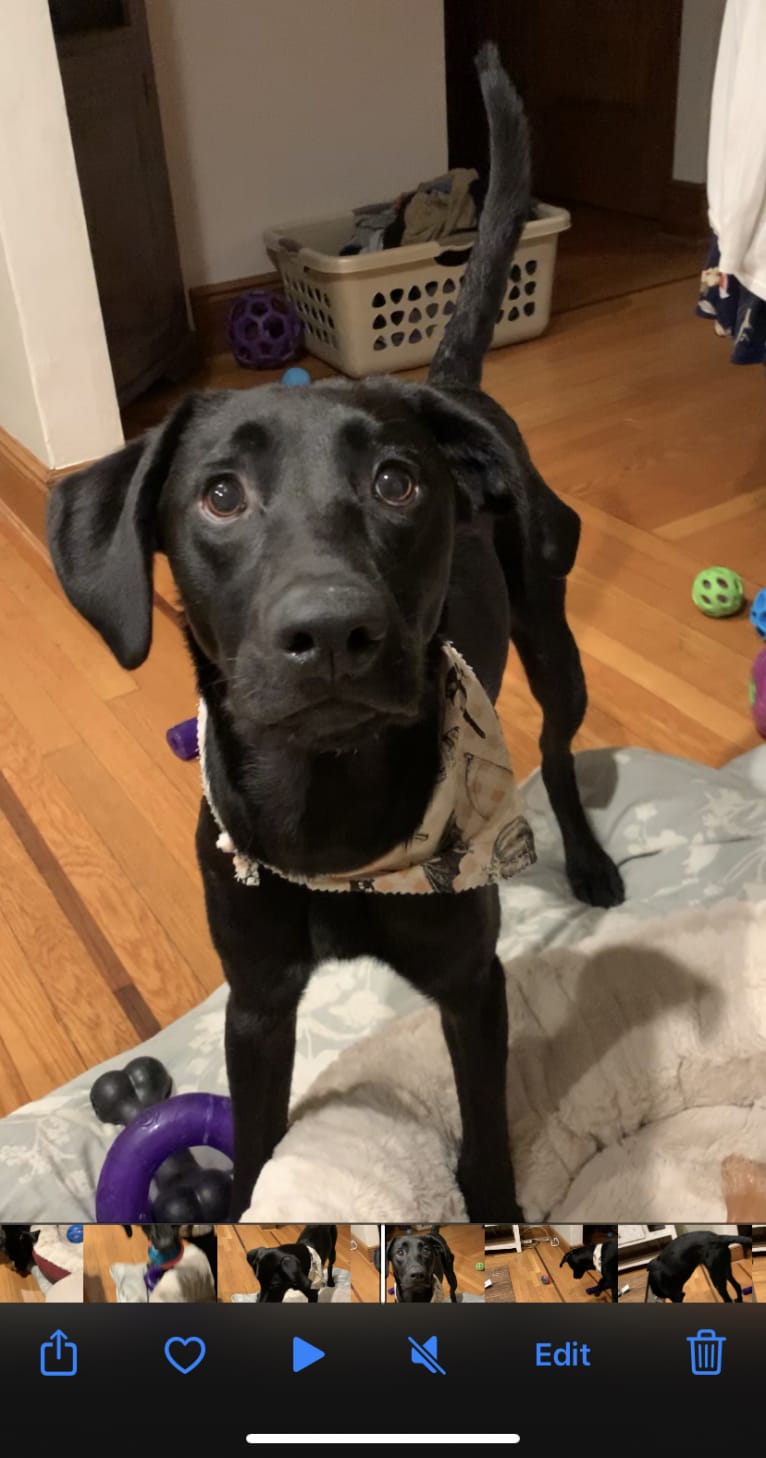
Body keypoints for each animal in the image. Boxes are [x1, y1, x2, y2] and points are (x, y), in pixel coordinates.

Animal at [46, 42, 621, 1218]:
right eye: (219, 496)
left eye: (399, 482)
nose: (331, 634)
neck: (332, 815)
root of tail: (445, 380)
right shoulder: (257, 1002)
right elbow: (259, 1144)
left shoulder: (470, 984)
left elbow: (486, 1138)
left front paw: (499, 1221)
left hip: (552, 636)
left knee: (555, 746)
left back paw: (587, 863)